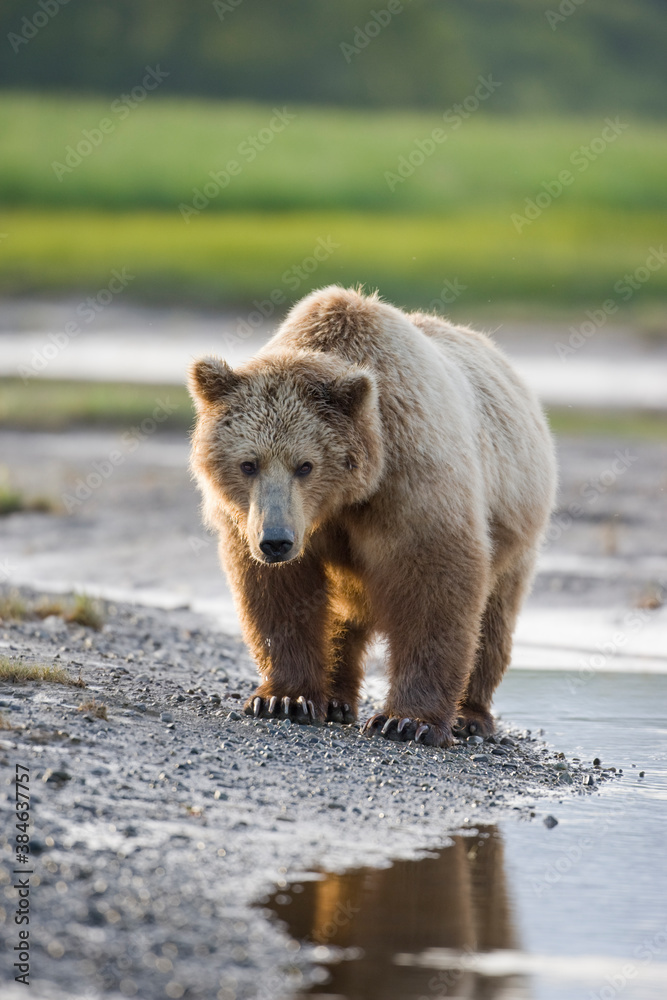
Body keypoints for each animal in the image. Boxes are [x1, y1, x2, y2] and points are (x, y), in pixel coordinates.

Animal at [188, 286, 556, 747]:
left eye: (305, 465)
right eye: (248, 464)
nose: (275, 541)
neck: (341, 500)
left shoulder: (409, 482)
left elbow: (434, 584)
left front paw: (407, 721)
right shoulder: (254, 521)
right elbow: (279, 595)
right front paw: (284, 699)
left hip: (516, 528)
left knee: (494, 618)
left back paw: (471, 715)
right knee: (344, 617)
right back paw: (338, 698)